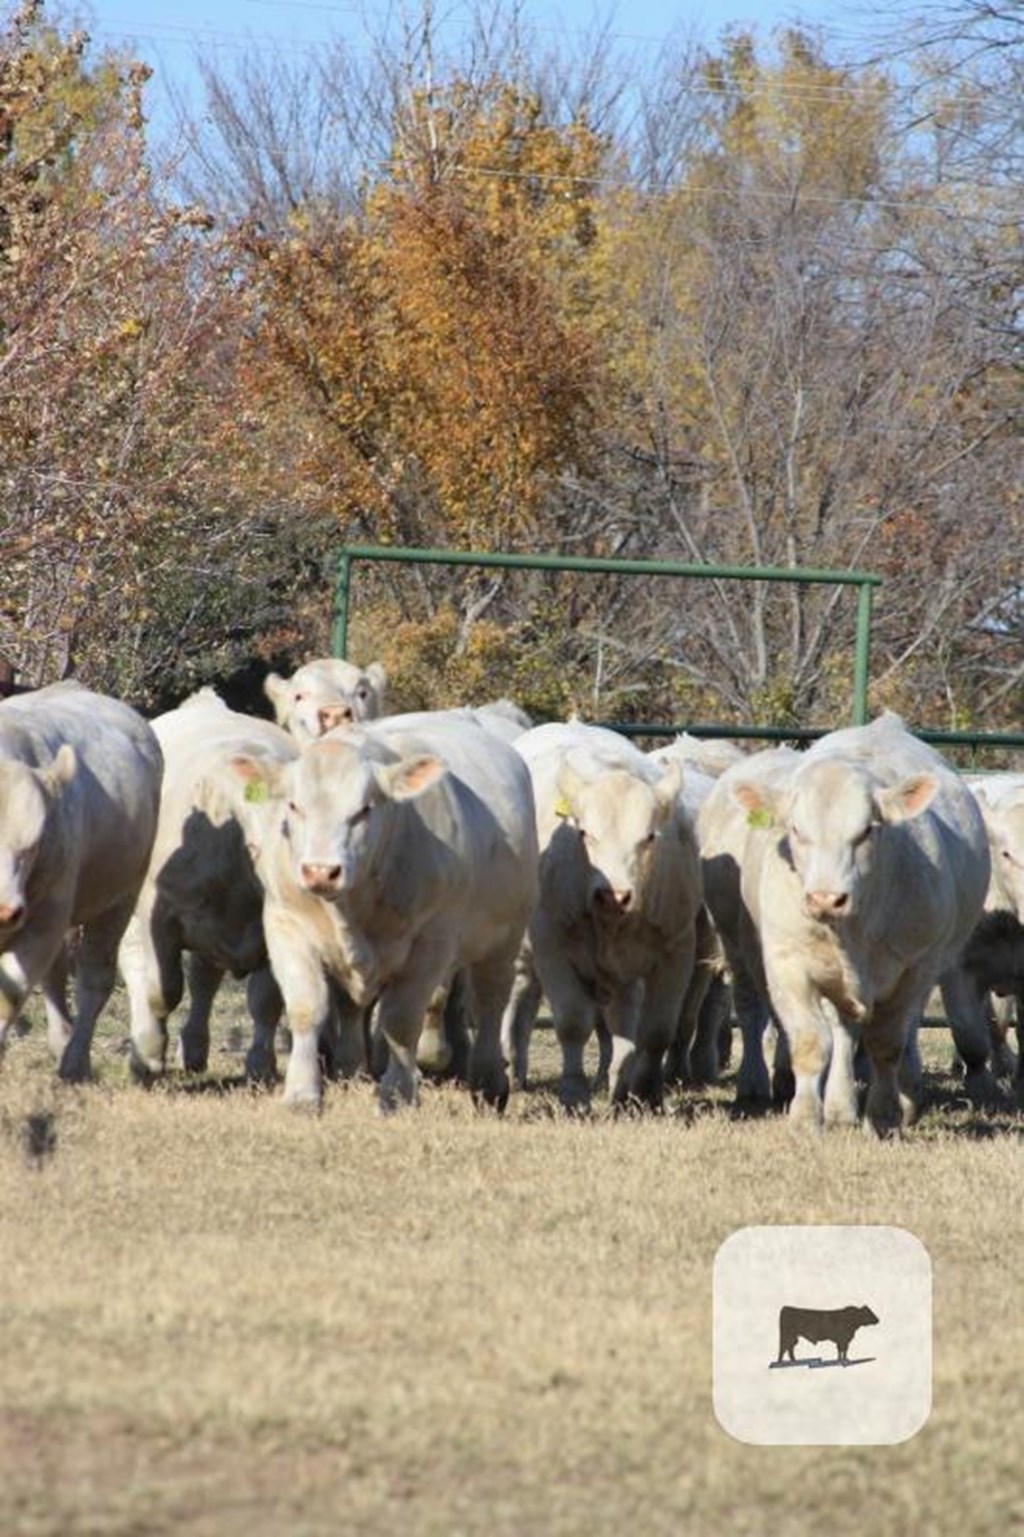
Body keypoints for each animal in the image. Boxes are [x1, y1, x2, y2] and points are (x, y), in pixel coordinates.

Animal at [0, 685, 160, 1082]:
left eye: (33, 844)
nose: (6, 911)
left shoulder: (45, 918)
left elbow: (10, 993)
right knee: (56, 976)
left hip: (120, 899)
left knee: (93, 978)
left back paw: (75, 1061)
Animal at [118, 691, 299, 1088]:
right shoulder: (160, 916)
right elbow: (162, 989)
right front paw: (149, 1056)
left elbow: (266, 999)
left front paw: (261, 1065)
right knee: (136, 962)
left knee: (204, 980)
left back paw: (194, 1048)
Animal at [227, 707, 538, 1106]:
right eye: (294, 806)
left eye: (364, 810)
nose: (320, 871)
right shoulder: (286, 924)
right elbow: (307, 1008)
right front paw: (302, 1094)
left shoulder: (430, 944)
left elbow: (401, 1022)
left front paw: (397, 1094)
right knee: (352, 1008)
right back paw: (350, 1069)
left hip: (505, 937)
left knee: (491, 1001)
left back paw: (489, 1082)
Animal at [501, 719, 701, 1118]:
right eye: (583, 833)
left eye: (650, 837)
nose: (614, 895)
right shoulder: (552, 946)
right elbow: (572, 1023)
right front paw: (573, 1095)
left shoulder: (677, 950)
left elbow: (656, 1030)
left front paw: (645, 1095)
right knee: (518, 997)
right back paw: (511, 1066)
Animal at [725, 713, 990, 1137]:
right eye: (796, 830)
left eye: (867, 830)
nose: (825, 898)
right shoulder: (787, 963)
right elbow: (810, 1041)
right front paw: (805, 1119)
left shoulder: (914, 968)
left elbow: (887, 1044)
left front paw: (883, 1116)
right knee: (843, 1031)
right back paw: (839, 1107)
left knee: (900, 1033)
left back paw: (900, 1098)